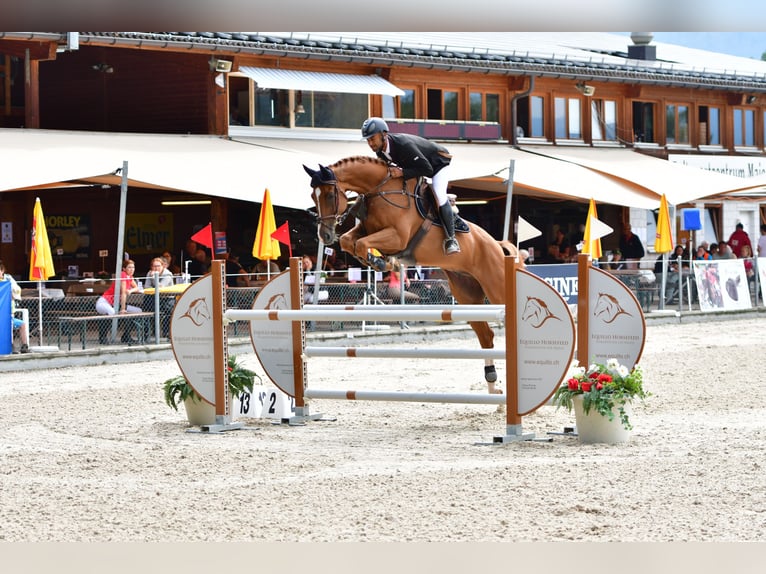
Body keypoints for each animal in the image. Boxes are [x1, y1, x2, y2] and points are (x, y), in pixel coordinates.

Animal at [304, 156, 524, 392]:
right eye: (313, 196)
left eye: (329, 195)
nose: (325, 235)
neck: (380, 189)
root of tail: (496, 244)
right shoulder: (367, 230)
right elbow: (349, 241)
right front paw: (382, 261)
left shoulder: (397, 237)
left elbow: (361, 243)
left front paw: (382, 262)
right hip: (467, 296)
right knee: (486, 335)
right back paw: (493, 385)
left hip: (496, 288)